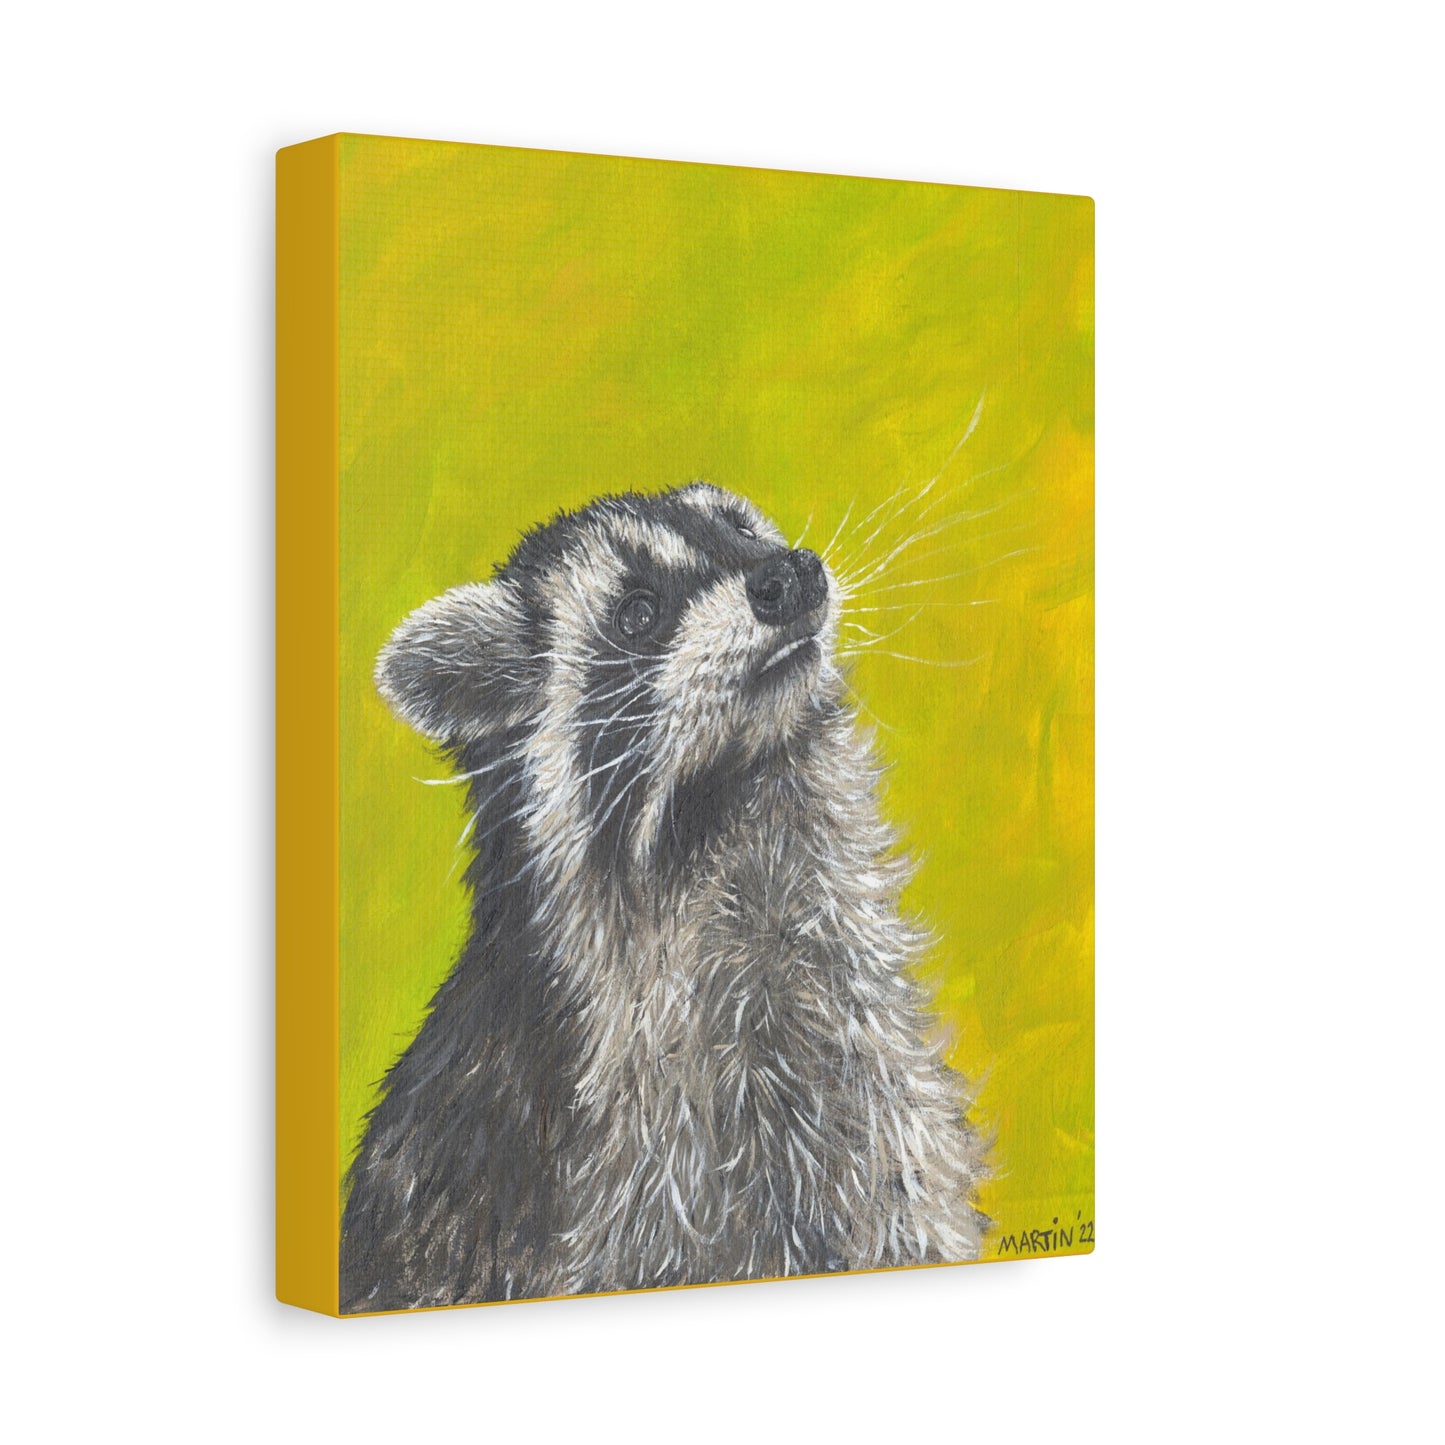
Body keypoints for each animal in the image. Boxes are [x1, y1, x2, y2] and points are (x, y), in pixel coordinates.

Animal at [339, 481, 988, 1312]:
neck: (732, 805)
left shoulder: (880, 1115)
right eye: (637, 612)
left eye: (741, 529)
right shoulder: (603, 1183)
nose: (790, 573)